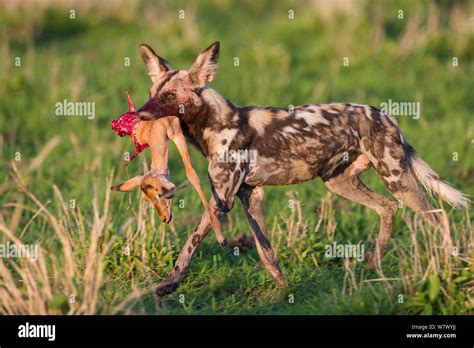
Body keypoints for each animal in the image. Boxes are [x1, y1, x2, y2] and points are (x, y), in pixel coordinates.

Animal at [135, 40, 468, 296]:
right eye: (152, 94)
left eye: (169, 96)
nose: (139, 114)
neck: (213, 124)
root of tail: (386, 115)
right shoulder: (250, 196)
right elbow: (266, 252)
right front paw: (285, 289)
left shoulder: (222, 201)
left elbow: (189, 246)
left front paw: (169, 285)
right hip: (339, 183)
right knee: (387, 207)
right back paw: (374, 265)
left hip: (397, 179)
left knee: (438, 216)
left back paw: (450, 262)